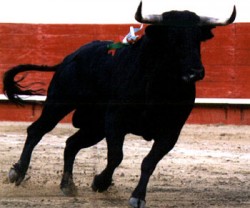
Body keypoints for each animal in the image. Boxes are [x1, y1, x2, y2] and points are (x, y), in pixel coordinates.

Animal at [2, 2, 235, 208]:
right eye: (171, 37)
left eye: (197, 38)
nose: (195, 72)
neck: (160, 86)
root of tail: (70, 57)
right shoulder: (116, 120)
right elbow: (116, 156)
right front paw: (100, 183)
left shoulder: (171, 131)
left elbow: (149, 162)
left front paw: (137, 197)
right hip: (59, 103)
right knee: (37, 131)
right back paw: (17, 173)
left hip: (94, 126)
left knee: (71, 143)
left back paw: (68, 184)